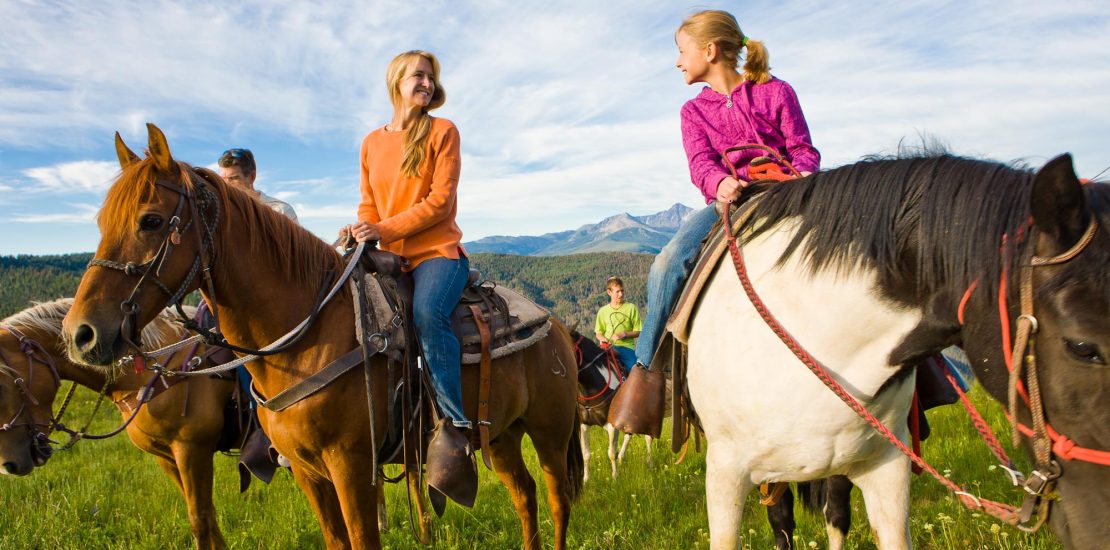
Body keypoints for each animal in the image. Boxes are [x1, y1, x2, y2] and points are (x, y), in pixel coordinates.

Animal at [0, 300, 234, 548]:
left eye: (1, 387)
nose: (8, 466)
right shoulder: (167, 457)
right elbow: (209, 517)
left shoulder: (192, 450)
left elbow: (200, 519)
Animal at [61, 125, 586, 550]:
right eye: (101, 223)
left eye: (150, 220)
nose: (80, 334)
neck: (306, 337)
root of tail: (555, 324)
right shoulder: (308, 471)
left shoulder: (350, 467)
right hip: (501, 433)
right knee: (525, 495)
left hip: (550, 428)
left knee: (557, 498)